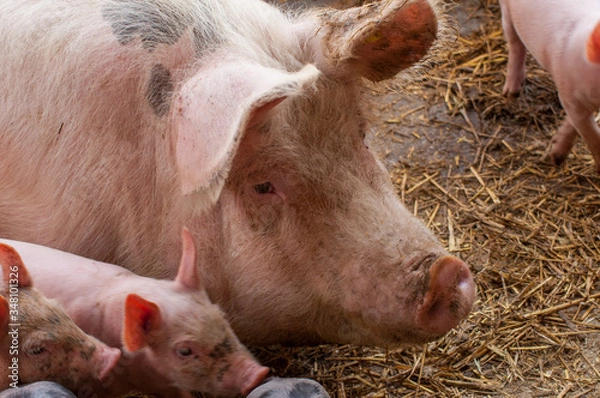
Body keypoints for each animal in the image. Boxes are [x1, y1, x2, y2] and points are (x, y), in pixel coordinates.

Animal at [500, 0, 600, 170]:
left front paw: (555, 156)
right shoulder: (569, 94)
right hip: (506, 9)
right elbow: (590, 133)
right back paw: (511, 93)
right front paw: (555, 160)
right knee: (514, 43)